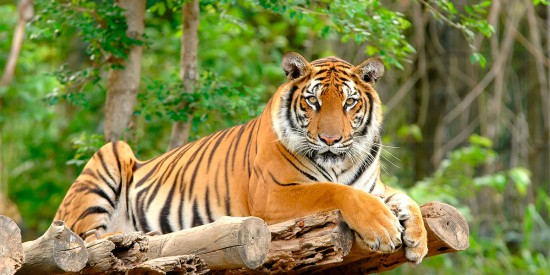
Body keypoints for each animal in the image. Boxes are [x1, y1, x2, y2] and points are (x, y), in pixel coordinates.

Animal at [54, 52, 430, 266]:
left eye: (350, 103)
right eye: (313, 101)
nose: (330, 139)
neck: (339, 163)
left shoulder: (374, 187)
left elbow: (406, 198)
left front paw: (418, 239)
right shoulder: (274, 195)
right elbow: (335, 191)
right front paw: (383, 228)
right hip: (110, 157)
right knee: (87, 239)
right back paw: (126, 237)